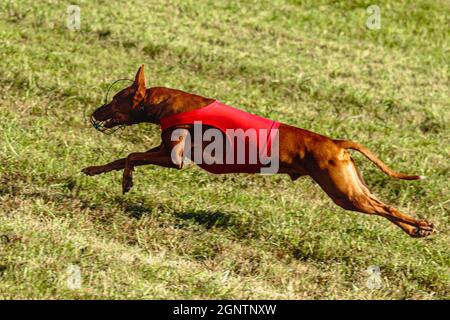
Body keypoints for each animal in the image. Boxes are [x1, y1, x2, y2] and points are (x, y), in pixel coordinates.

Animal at [82, 64, 434, 238]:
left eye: (115, 99)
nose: (95, 112)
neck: (164, 103)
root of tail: (336, 142)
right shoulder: (164, 148)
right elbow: (120, 159)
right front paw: (94, 170)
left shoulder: (175, 158)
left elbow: (131, 157)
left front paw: (127, 182)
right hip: (352, 186)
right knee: (383, 205)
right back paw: (417, 230)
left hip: (343, 192)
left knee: (386, 208)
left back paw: (423, 225)